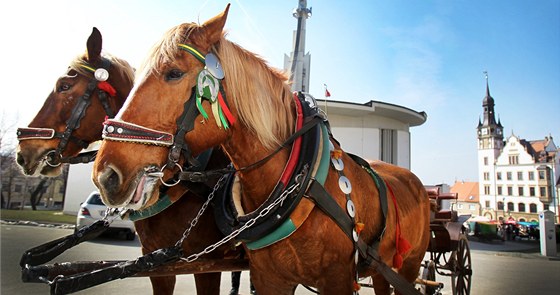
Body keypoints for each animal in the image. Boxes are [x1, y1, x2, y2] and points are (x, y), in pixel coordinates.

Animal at [93, 5, 428, 295]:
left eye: (173, 73)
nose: (105, 174)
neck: (302, 182)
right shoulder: (267, 278)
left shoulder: (338, 280)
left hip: (408, 266)